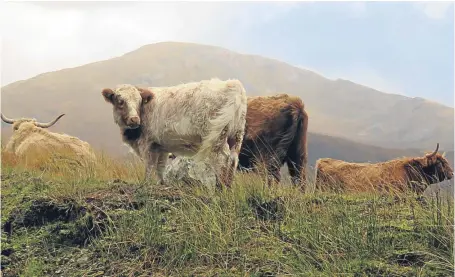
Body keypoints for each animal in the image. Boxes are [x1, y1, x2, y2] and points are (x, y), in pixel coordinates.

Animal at [101, 76, 248, 187]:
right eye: (120, 101)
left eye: (139, 101)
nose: (134, 119)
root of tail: (233, 84)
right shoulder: (161, 147)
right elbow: (160, 167)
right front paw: (162, 184)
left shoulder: (147, 144)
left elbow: (149, 166)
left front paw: (145, 184)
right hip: (236, 135)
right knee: (233, 159)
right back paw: (229, 186)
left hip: (218, 137)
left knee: (222, 159)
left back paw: (220, 187)